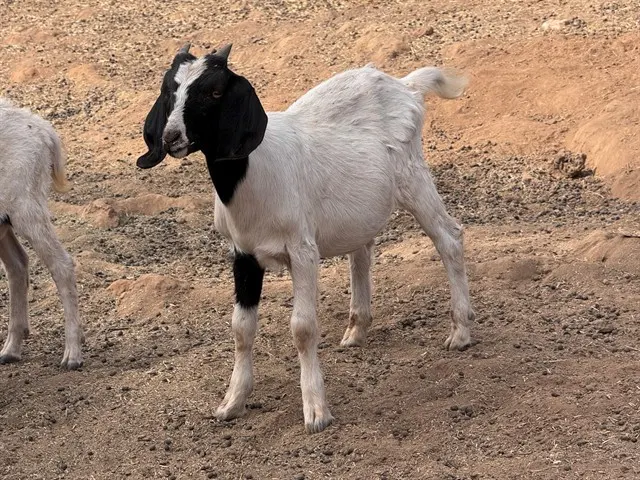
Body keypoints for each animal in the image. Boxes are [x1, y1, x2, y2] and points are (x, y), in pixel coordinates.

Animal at [0, 98, 83, 369]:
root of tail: (42, 128)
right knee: (18, 264)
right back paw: (10, 350)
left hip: (27, 207)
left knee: (62, 265)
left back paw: (72, 355)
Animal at [137, 44, 475, 433]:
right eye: (169, 88)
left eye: (216, 91)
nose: (171, 137)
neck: (254, 172)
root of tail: (405, 86)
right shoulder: (243, 254)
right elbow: (241, 328)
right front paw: (232, 403)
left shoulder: (302, 251)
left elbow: (302, 327)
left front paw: (315, 411)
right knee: (363, 249)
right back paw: (357, 330)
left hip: (413, 178)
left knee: (449, 238)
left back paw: (461, 332)